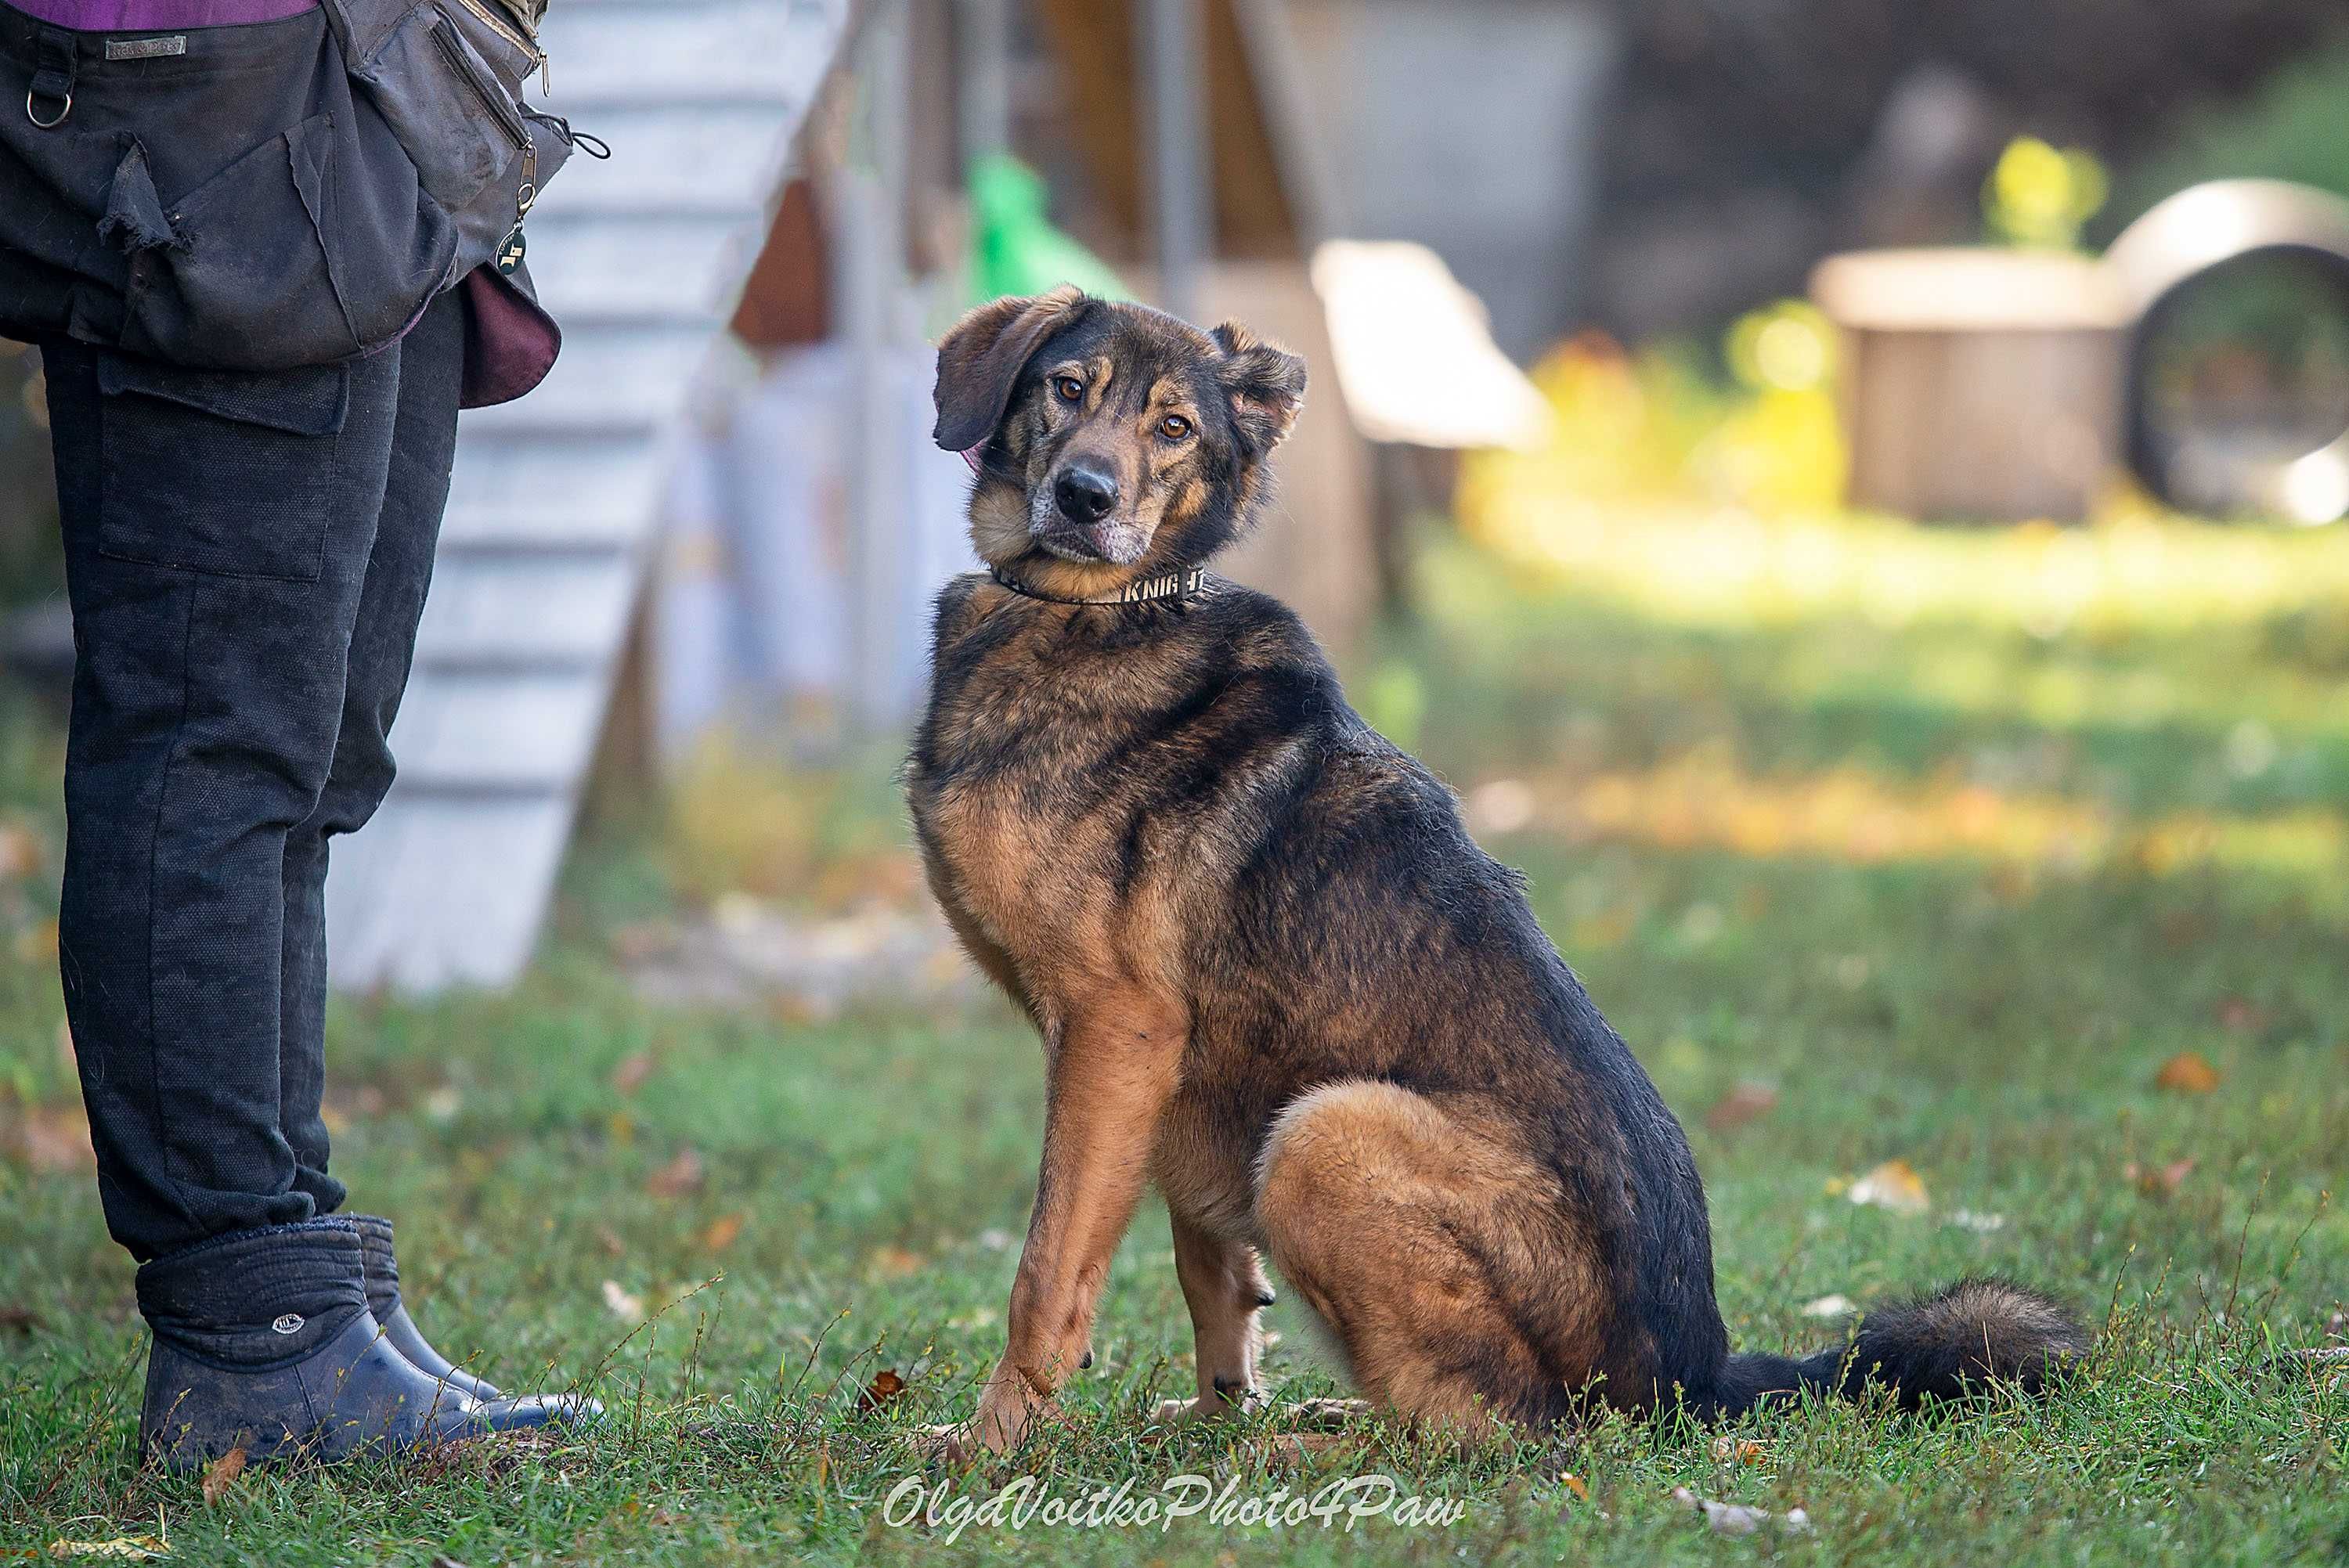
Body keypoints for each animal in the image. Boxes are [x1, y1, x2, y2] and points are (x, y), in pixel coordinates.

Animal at [907, 287, 2086, 1455]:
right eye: (1068, 388)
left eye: (1175, 426)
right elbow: (1212, 1277)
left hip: (1326, 1133)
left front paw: (992, 1445)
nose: (1084, 495)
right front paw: (1214, 1410)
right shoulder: (1167, 1080)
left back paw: (1311, 1449)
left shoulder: (1117, 1030)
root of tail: (1693, 1382)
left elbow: (1048, 1270)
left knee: (1495, 1430)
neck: (1099, 605)